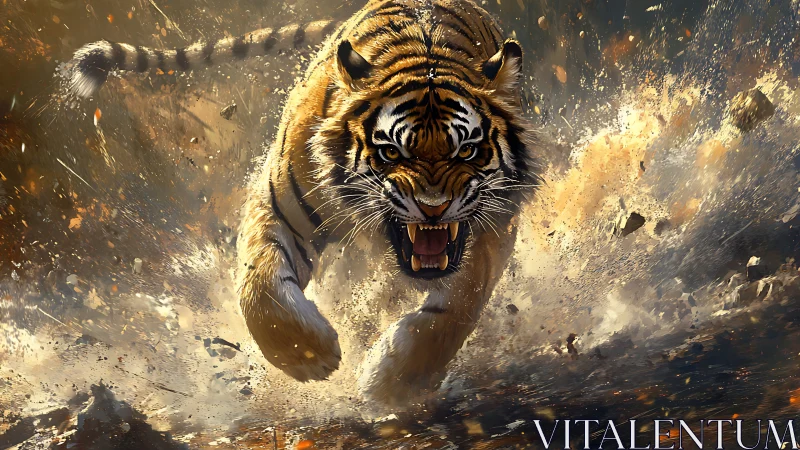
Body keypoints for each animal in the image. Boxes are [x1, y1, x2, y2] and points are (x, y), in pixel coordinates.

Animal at [66, 0, 540, 405]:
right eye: (391, 152)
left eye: (467, 150)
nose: (433, 207)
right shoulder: (277, 206)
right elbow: (260, 288)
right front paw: (310, 357)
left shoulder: (495, 226)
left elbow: (456, 308)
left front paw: (391, 384)